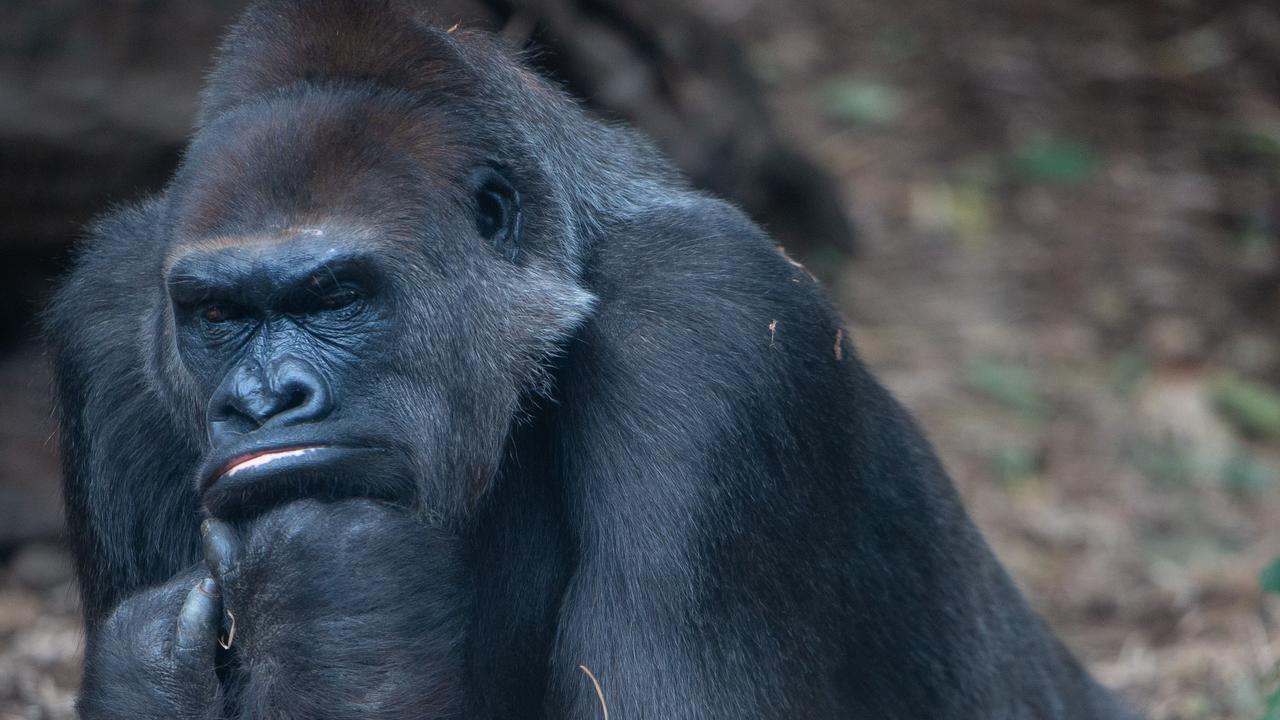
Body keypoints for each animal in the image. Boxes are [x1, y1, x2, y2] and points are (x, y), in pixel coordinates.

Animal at [45, 1, 1136, 717]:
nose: (265, 401)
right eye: (217, 314)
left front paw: (331, 600)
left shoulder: (709, 324)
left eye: (337, 297)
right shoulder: (109, 324)